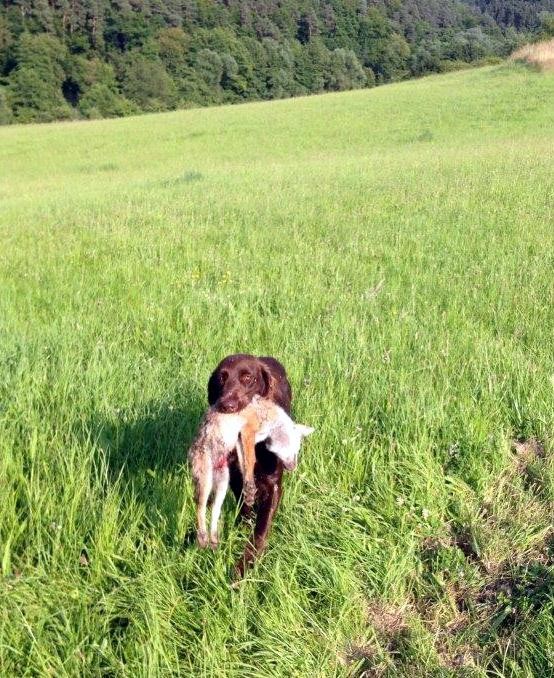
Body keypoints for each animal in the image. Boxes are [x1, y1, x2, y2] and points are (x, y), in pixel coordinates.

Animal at [189, 396, 310, 548]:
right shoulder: (247, 431)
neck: (266, 413)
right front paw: (250, 485)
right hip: (206, 483)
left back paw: (214, 539)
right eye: (293, 449)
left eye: (297, 449)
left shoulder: (241, 439)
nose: (292, 467)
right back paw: (202, 537)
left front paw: (249, 485)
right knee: (200, 508)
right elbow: (251, 460)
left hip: (222, 483)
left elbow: (245, 464)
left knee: (215, 512)